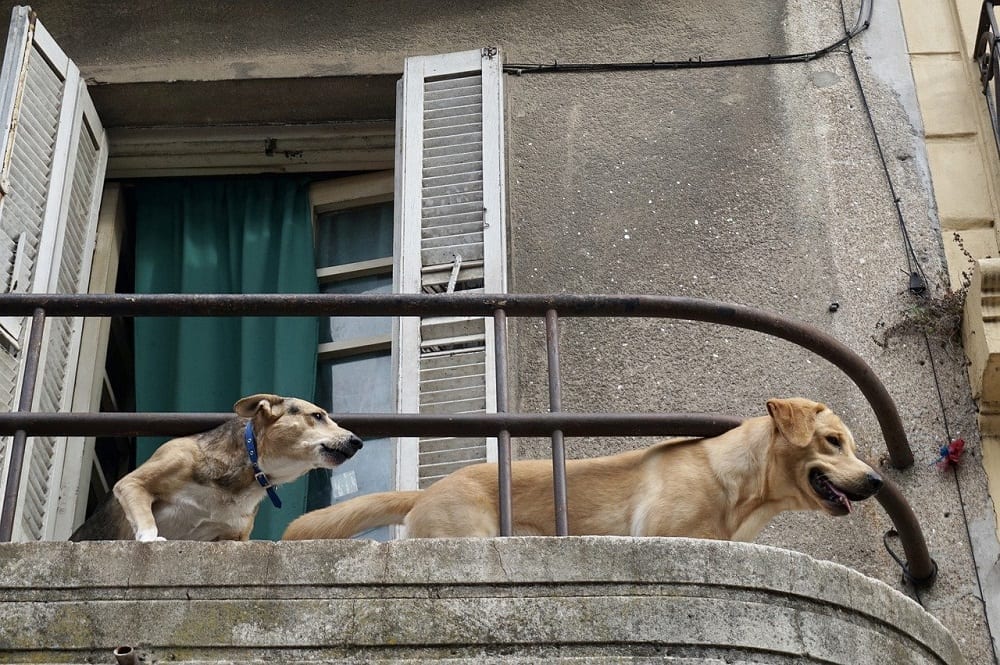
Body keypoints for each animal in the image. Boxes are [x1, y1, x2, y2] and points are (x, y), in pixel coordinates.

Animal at [73, 394, 364, 540]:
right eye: (317, 416)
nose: (358, 442)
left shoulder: (236, 537)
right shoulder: (133, 483)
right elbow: (147, 520)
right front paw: (150, 538)